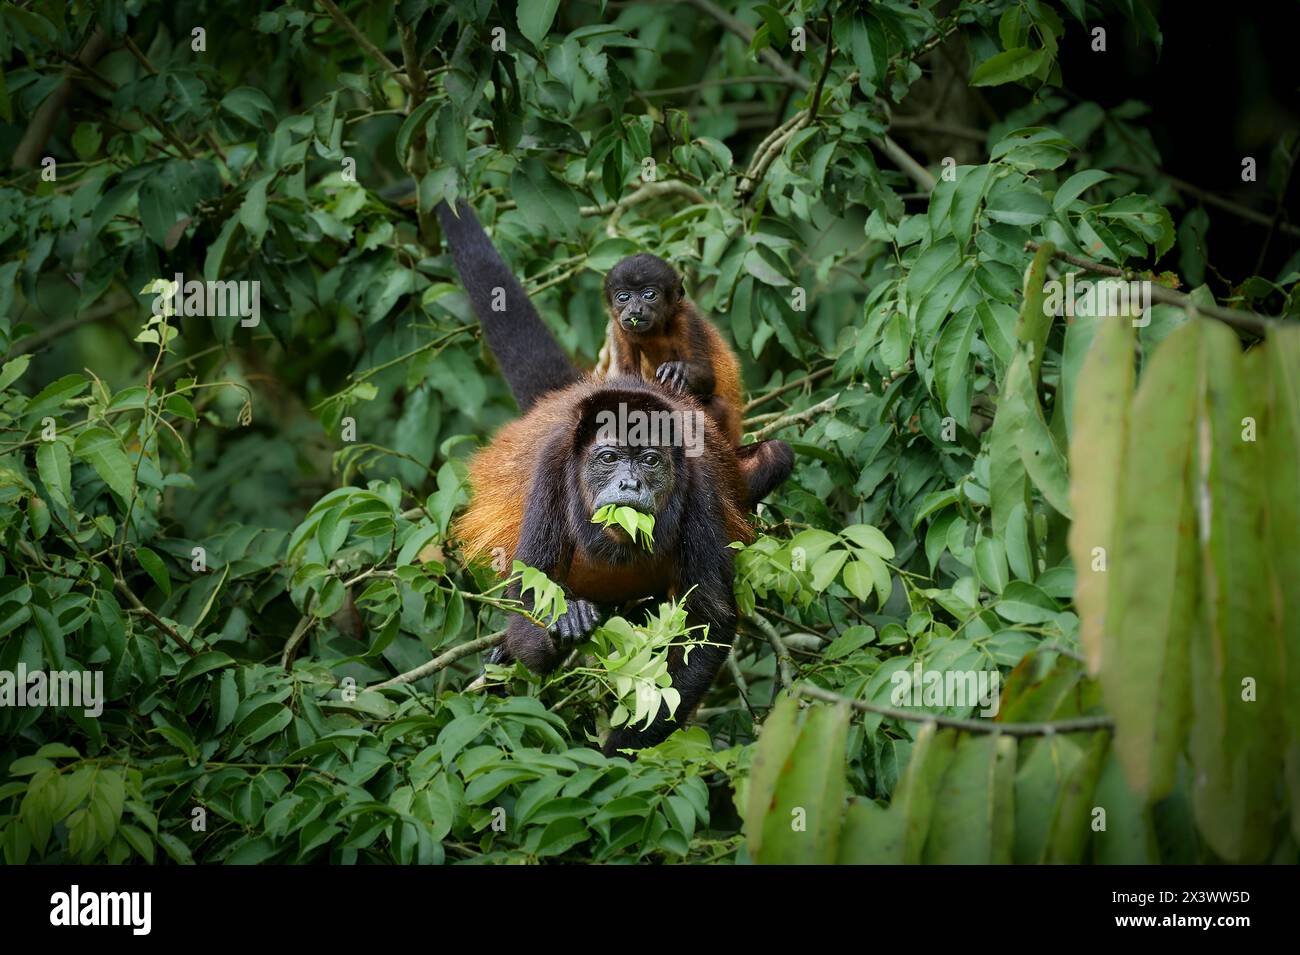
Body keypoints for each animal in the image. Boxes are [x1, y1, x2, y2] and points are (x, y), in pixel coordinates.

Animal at [434, 200, 790, 753]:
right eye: (607, 459)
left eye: (649, 461)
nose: (629, 485)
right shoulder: (552, 469)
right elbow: (524, 602)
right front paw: (563, 625)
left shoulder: (700, 487)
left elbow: (710, 620)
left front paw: (620, 749)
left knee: (775, 454)